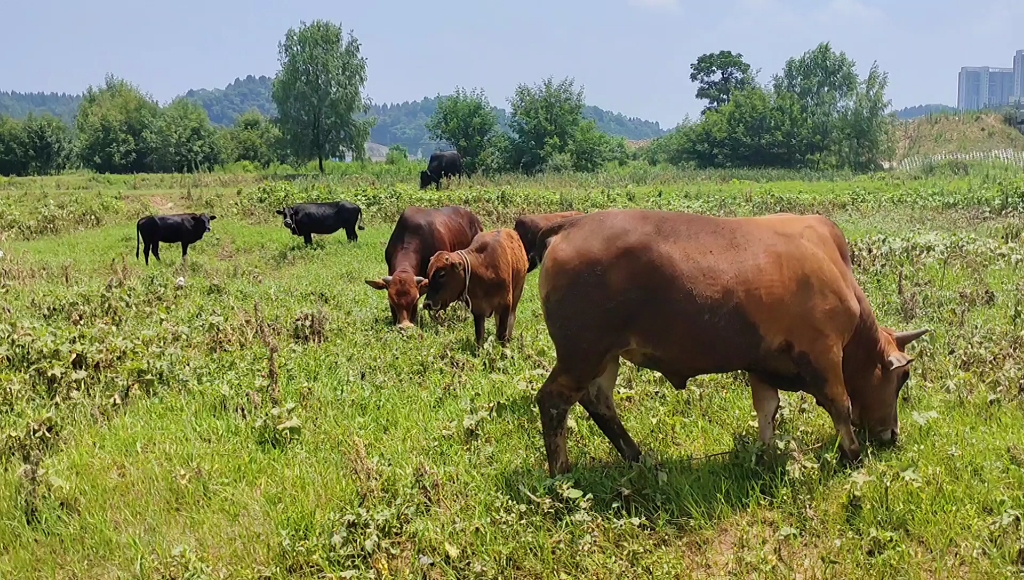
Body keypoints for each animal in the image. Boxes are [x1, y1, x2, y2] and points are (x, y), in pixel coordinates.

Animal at [536, 209, 929, 477]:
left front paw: (768, 454)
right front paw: (853, 454)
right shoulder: (825, 353)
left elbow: (767, 409)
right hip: (582, 353)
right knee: (553, 401)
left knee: (598, 400)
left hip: (605, 357)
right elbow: (840, 404)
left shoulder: (763, 363)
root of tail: (570, 226)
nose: (891, 434)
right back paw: (562, 473)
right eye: (902, 378)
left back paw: (637, 456)